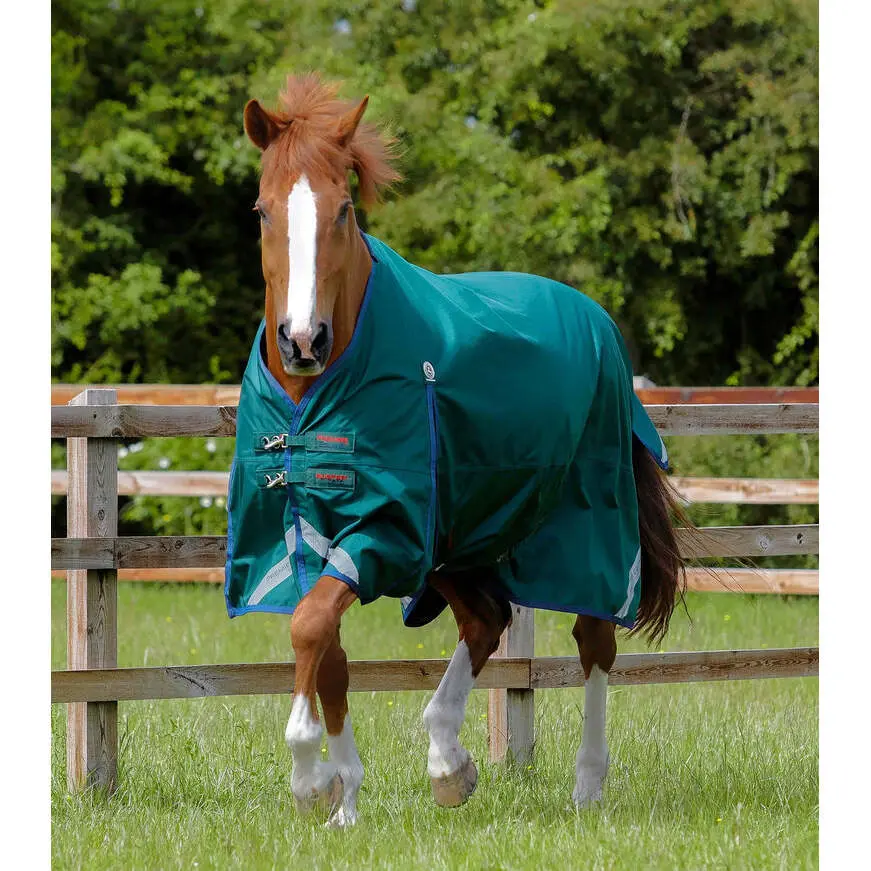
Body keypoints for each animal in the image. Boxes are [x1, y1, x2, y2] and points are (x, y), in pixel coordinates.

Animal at [228, 74, 685, 829]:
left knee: (594, 642)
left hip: (587, 524)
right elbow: (326, 650)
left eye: (343, 210)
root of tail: (595, 318)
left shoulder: (382, 530)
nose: (302, 340)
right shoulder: (313, 535)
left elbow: (310, 628)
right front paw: (344, 797)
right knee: (487, 620)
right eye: (262, 211)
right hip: (463, 538)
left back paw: (586, 786)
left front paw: (311, 780)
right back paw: (449, 762)